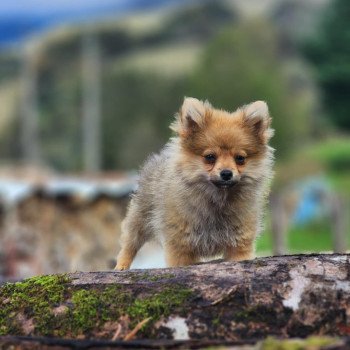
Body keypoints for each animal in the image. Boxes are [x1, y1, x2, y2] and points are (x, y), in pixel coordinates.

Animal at [115, 97, 274, 270]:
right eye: (210, 157)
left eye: (240, 158)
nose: (226, 173)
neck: (217, 199)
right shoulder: (180, 246)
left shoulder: (239, 244)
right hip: (140, 217)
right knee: (130, 242)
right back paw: (121, 266)